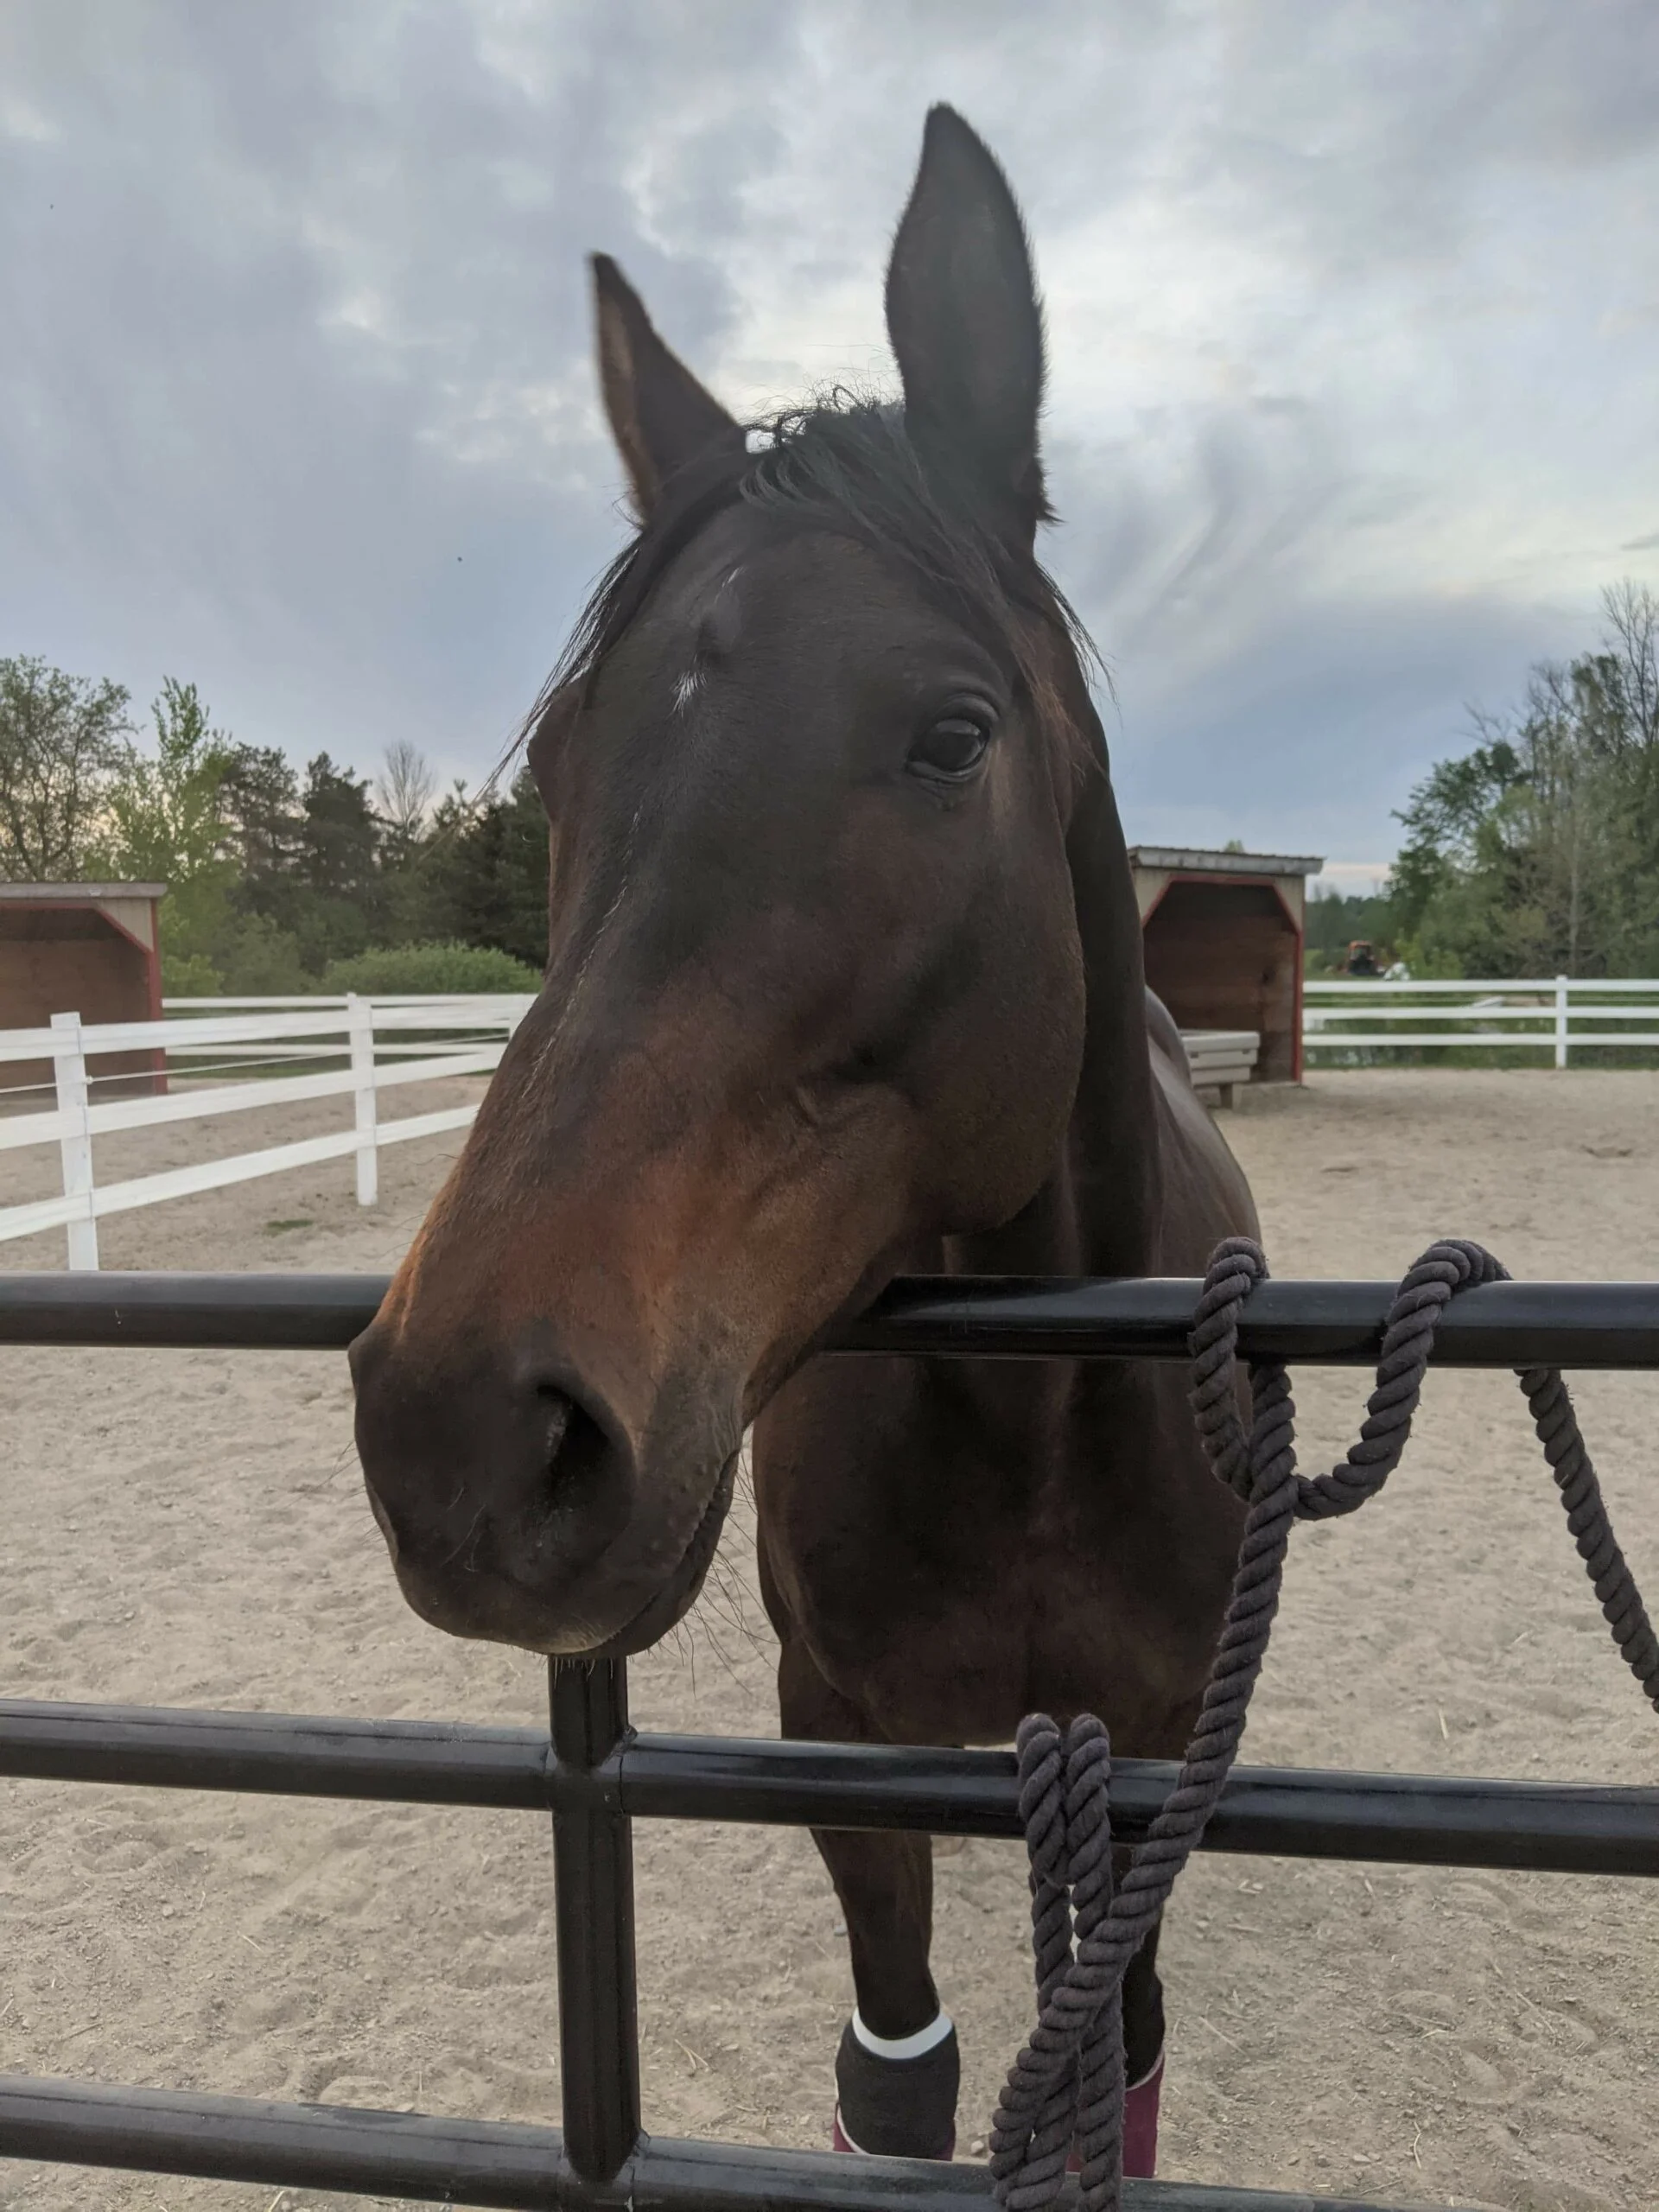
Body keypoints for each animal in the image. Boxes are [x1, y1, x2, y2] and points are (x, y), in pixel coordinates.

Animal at [350, 105, 1256, 2177]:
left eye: (952, 733)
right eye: (559, 763)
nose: (467, 1430)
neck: (1040, 1415)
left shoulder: (1159, 1743)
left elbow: (1122, 2067)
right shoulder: (842, 1732)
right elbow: (897, 2085)